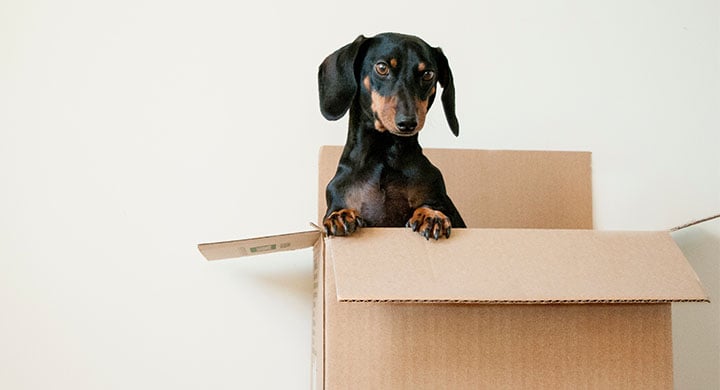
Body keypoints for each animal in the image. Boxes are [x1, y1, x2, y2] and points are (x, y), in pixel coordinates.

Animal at [316, 32, 464, 241]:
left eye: (428, 74)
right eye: (382, 67)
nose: (408, 122)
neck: (384, 155)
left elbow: (431, 205)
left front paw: (431, 215)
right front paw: (340, 216)